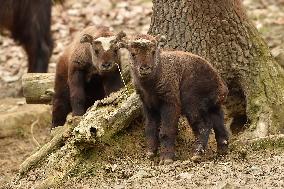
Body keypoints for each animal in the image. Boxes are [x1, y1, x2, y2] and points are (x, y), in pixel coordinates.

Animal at [117, 33, 229, 164]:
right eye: (133, 53)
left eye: (153, 51)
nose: (145, 68)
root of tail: (221, 87)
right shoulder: (148, 106)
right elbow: (150, 128)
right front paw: (150, 152)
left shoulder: (170, 104)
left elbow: (166, 131)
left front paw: (166, 158)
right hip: (214, 107)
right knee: (219, 125)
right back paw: (222, 150)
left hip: (192, 105)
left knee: (203, 126)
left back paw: (196, 155)